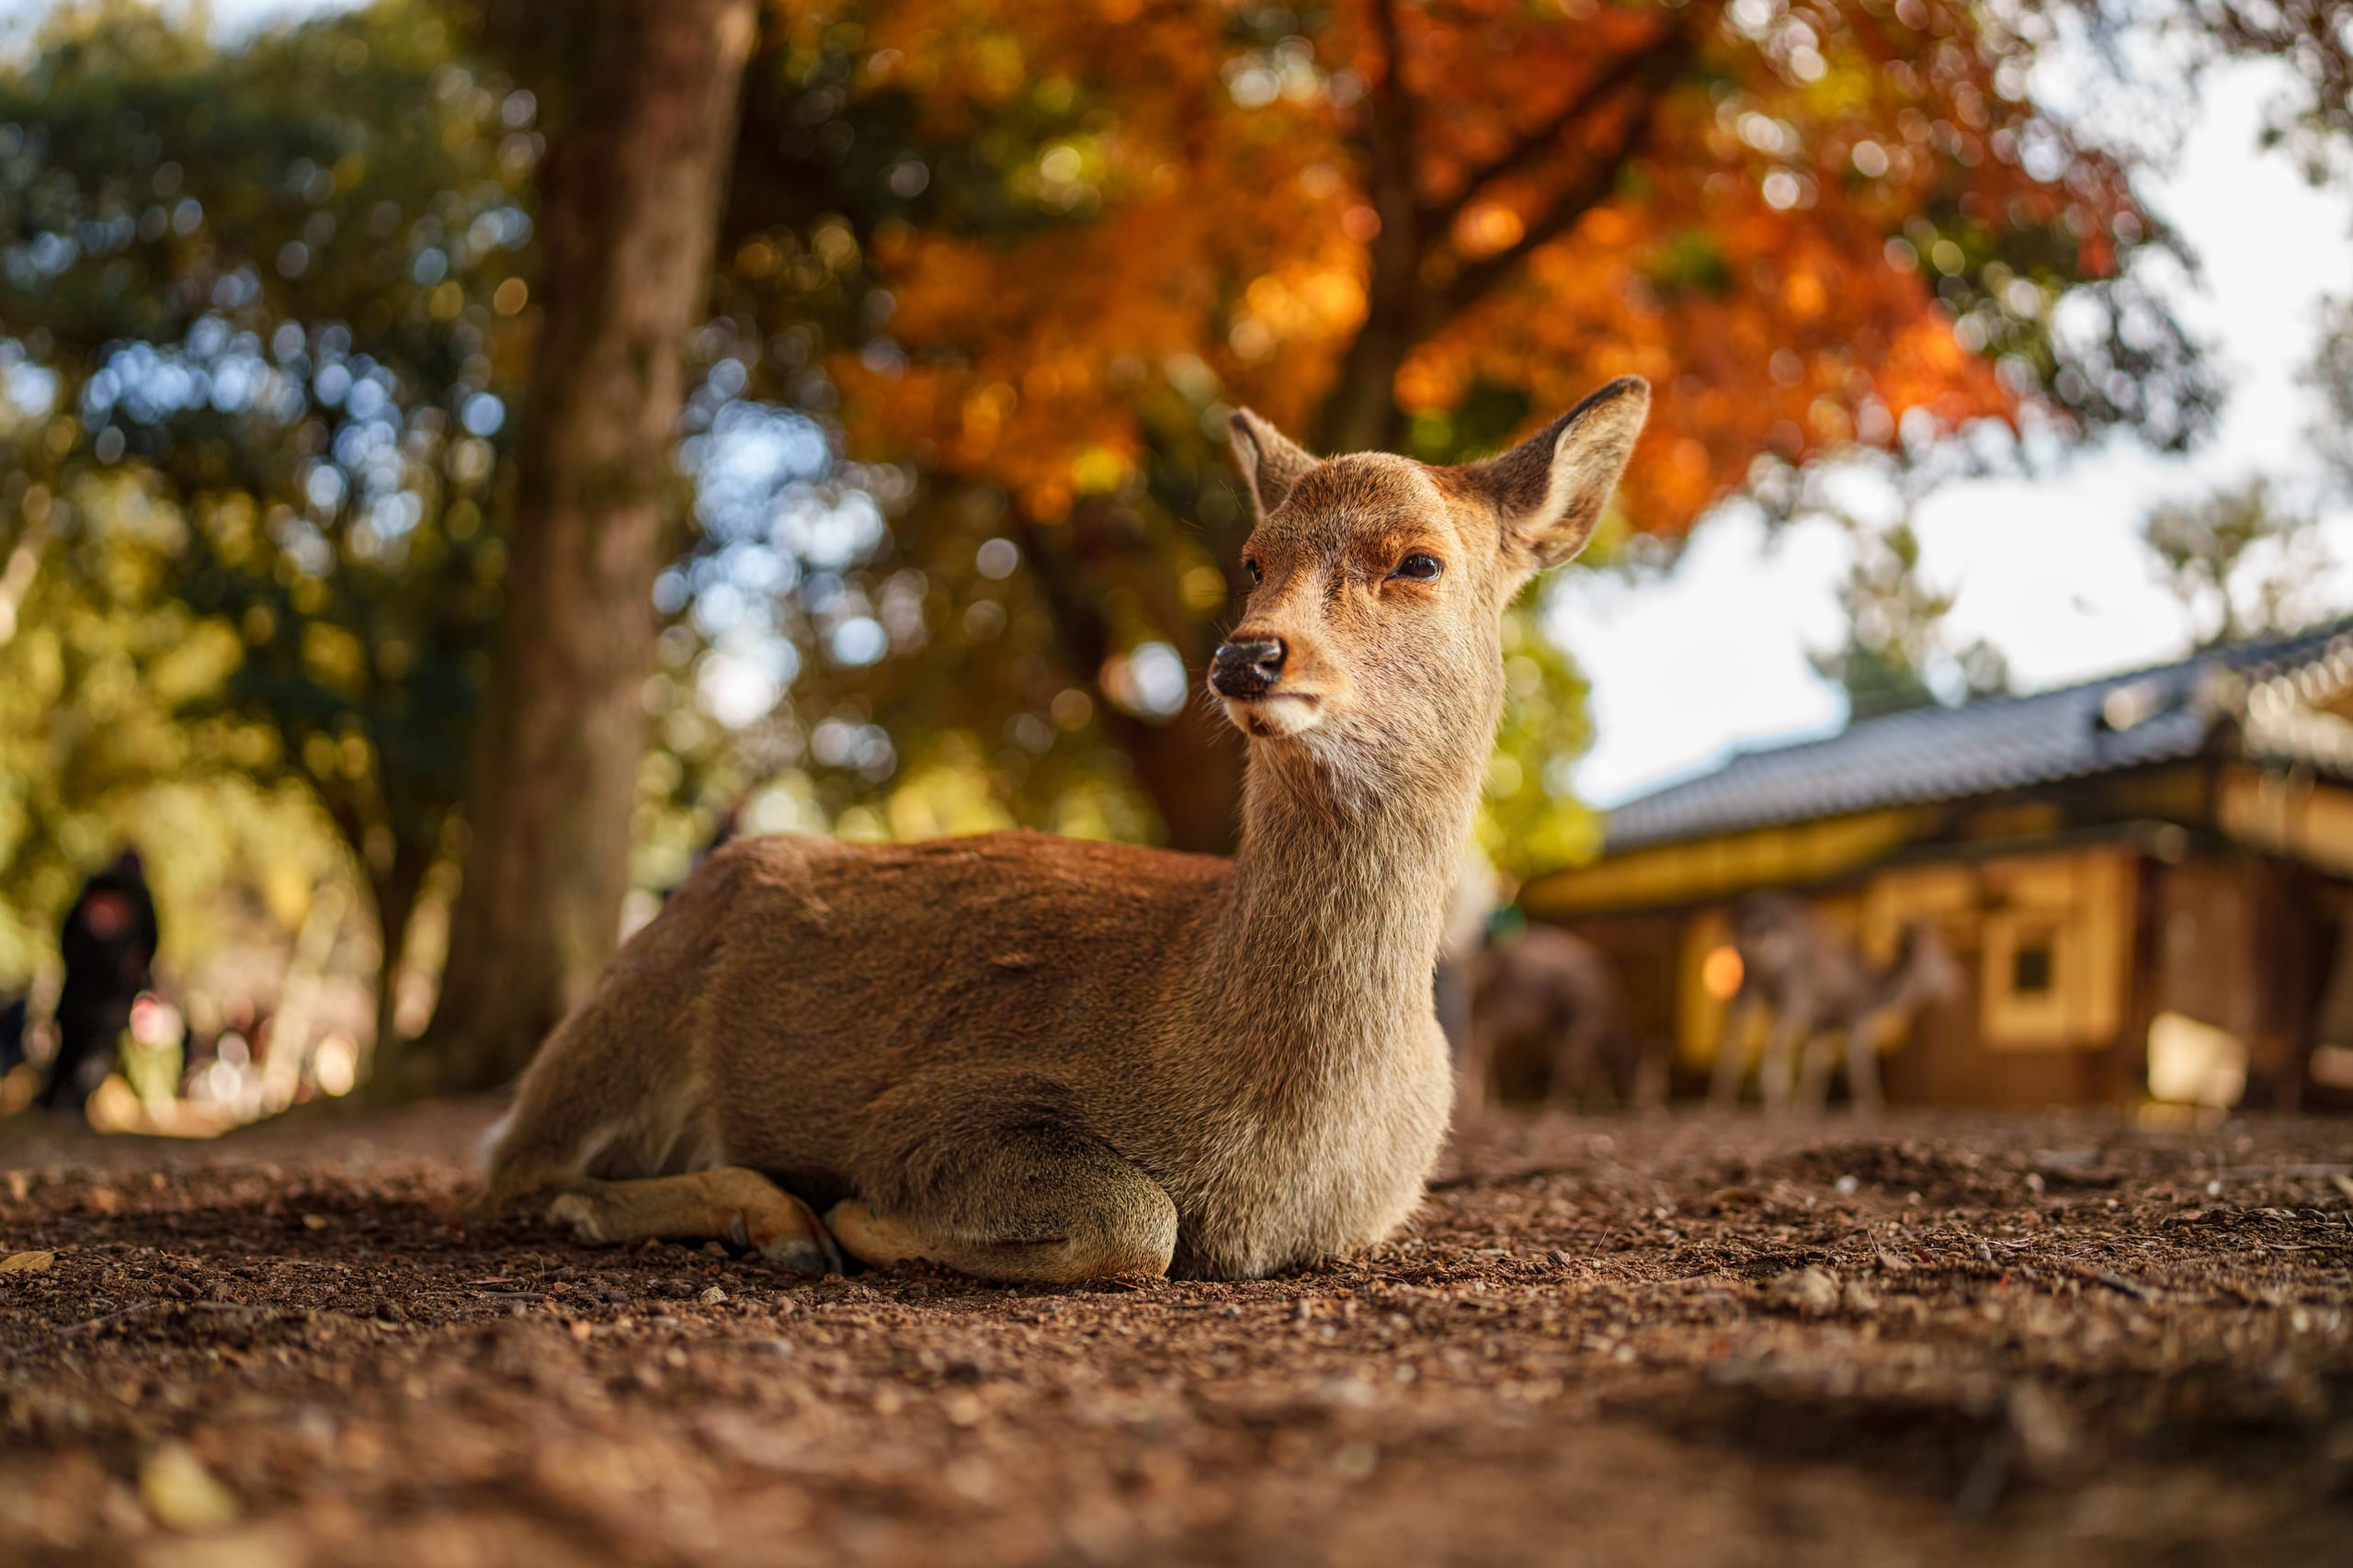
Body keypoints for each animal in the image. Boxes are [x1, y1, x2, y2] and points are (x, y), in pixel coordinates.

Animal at [478, 377, 1650, 1283]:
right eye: (1251, 557)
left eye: (1419, 560)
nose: (1246, 655)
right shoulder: (934, 1105)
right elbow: (1141, 1220)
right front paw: (855, 1215)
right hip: (631, 1006)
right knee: (512, 1168)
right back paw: (771, 1220)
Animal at [1706, 890, 1962, 1114]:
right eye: (1943, 954)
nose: (1958, 984)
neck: (1876, 994)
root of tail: (1751, 916)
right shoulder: (1856, 1018)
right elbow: (1858, 1061)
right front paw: (1870, 1104)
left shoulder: (1823, 1025)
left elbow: (1816, 1062)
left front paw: (1809, 1104)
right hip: (1793, 990)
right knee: (1776, 1038)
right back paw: (1775, 1101)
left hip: (1748, 983)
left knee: (1732, 1034)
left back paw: (1722, 1100)